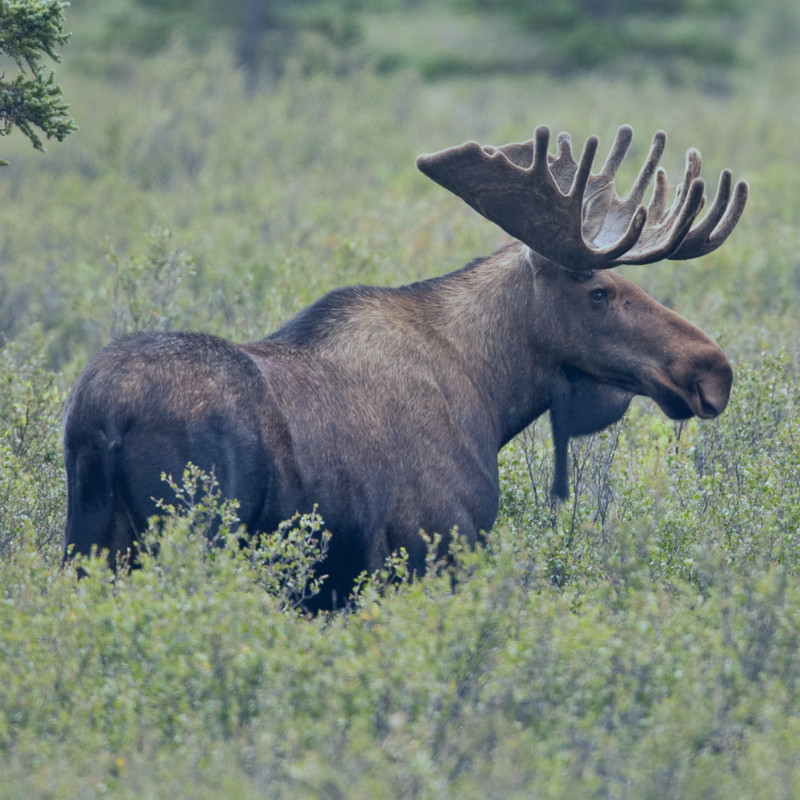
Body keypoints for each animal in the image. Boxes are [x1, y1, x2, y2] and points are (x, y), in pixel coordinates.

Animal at [62, 123, 747, 611]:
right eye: (600, 292)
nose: (712, 369)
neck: (491, 395)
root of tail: (101, 416)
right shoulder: (431, 550)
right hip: (190, 536)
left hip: (87, 542)